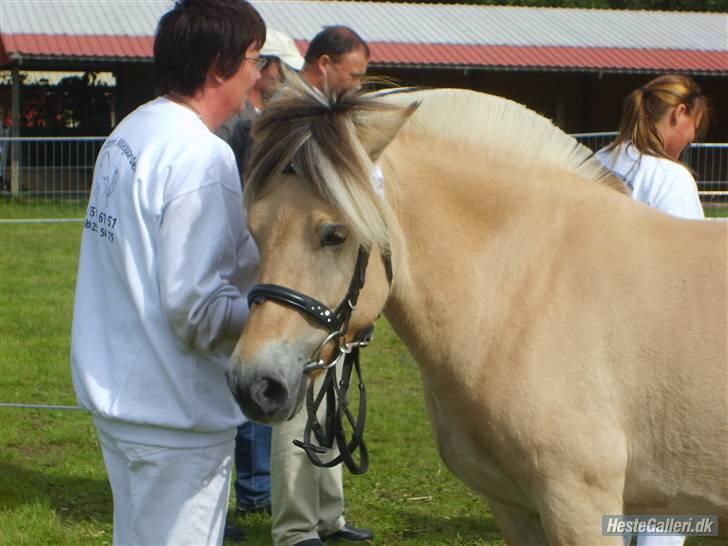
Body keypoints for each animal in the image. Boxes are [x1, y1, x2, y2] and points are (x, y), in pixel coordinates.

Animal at [225, 77, 724, 544]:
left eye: (335, 234)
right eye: (254, 229)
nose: (254, 385)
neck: (531, 287)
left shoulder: (581, 505)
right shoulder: (516, 508)